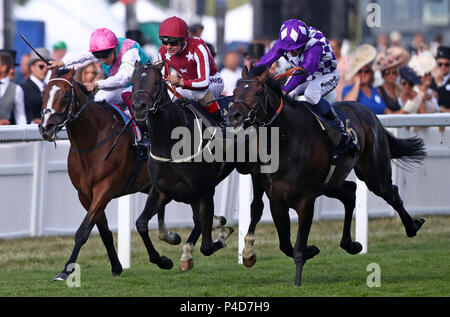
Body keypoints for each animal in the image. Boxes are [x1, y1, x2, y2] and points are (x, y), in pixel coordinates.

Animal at [38, 67, 183, 278]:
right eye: (43, 94)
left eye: (65, 95)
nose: (46, 128)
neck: (92, 142)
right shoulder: (85, 194)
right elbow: (103, 231)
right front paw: (116, 266)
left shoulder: (105, 189)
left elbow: (83, 230)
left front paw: (66, 270)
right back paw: (170, 238)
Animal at [227, 66, 428, 284]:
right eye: (235, 92)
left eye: (257, 92)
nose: (233, 115)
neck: (285, 141)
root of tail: (370, 113)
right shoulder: (277, 200)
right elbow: (285, 244)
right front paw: (311, 250)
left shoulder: (306, 201)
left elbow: (297, 248)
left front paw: (298, 282)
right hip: (330, 184)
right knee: (350, 192)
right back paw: (352, 244)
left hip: (374, 174)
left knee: (392, 193)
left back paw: (412, 226)